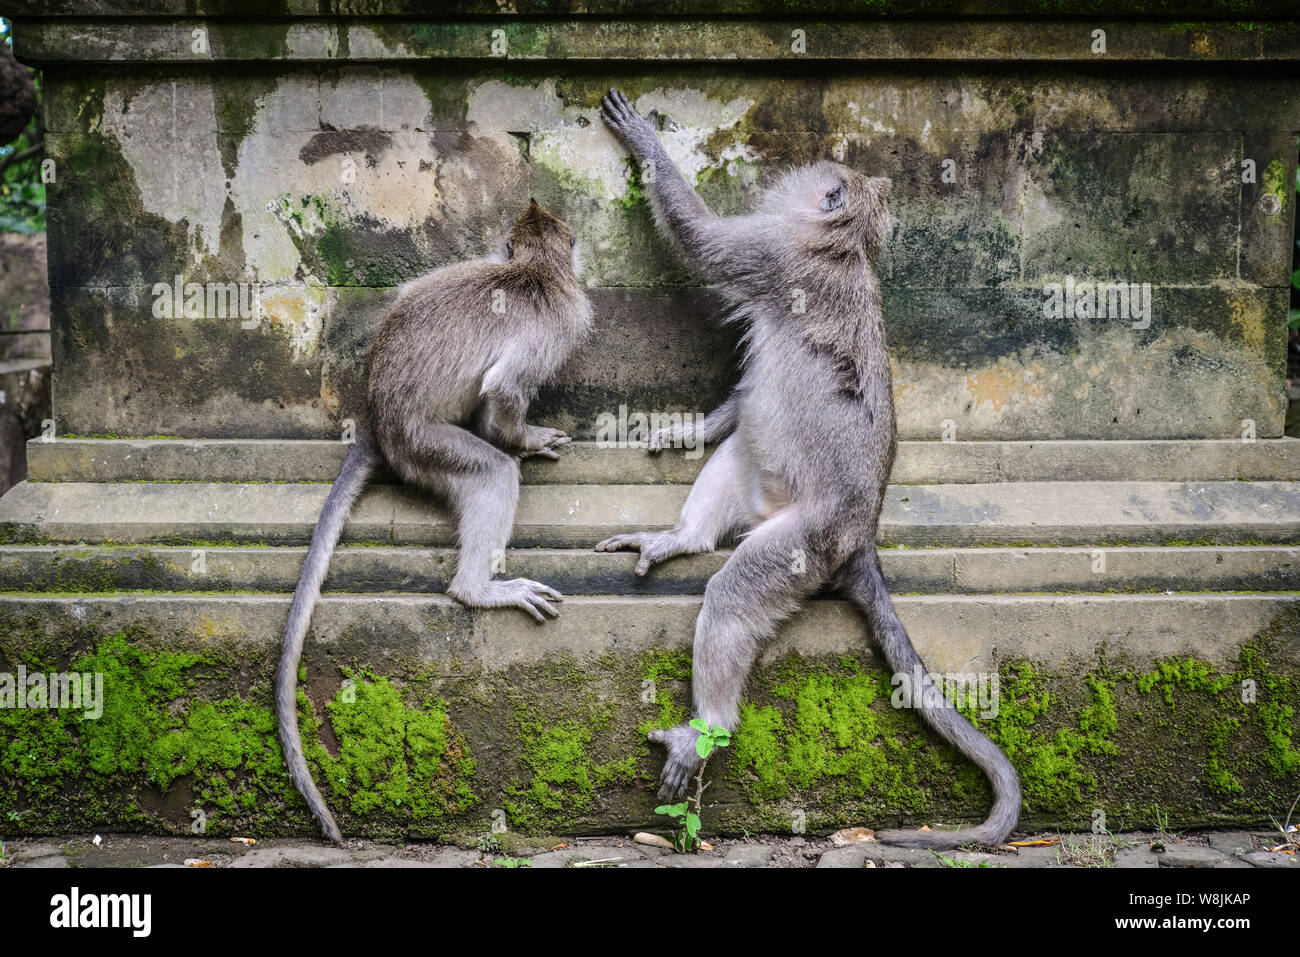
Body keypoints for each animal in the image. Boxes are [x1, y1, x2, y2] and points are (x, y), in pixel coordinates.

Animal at [276, 200, 594, 843]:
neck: (534, 270)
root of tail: (376, 420)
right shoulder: (560, 324)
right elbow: (504, 391)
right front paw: (525, 439)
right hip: (424, 447)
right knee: (491, 471)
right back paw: (479, 588)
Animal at [597, 89, 1020, 849]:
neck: (841, 245)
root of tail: (862, 533)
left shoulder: (775, 254)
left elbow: (702, 239)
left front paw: (646, 143)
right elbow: (740, 398)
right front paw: (686, 429)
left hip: (805, 543)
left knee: (735, 596)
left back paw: (707, 728)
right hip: (765, 490)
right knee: (739, 450)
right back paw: (683, 538)